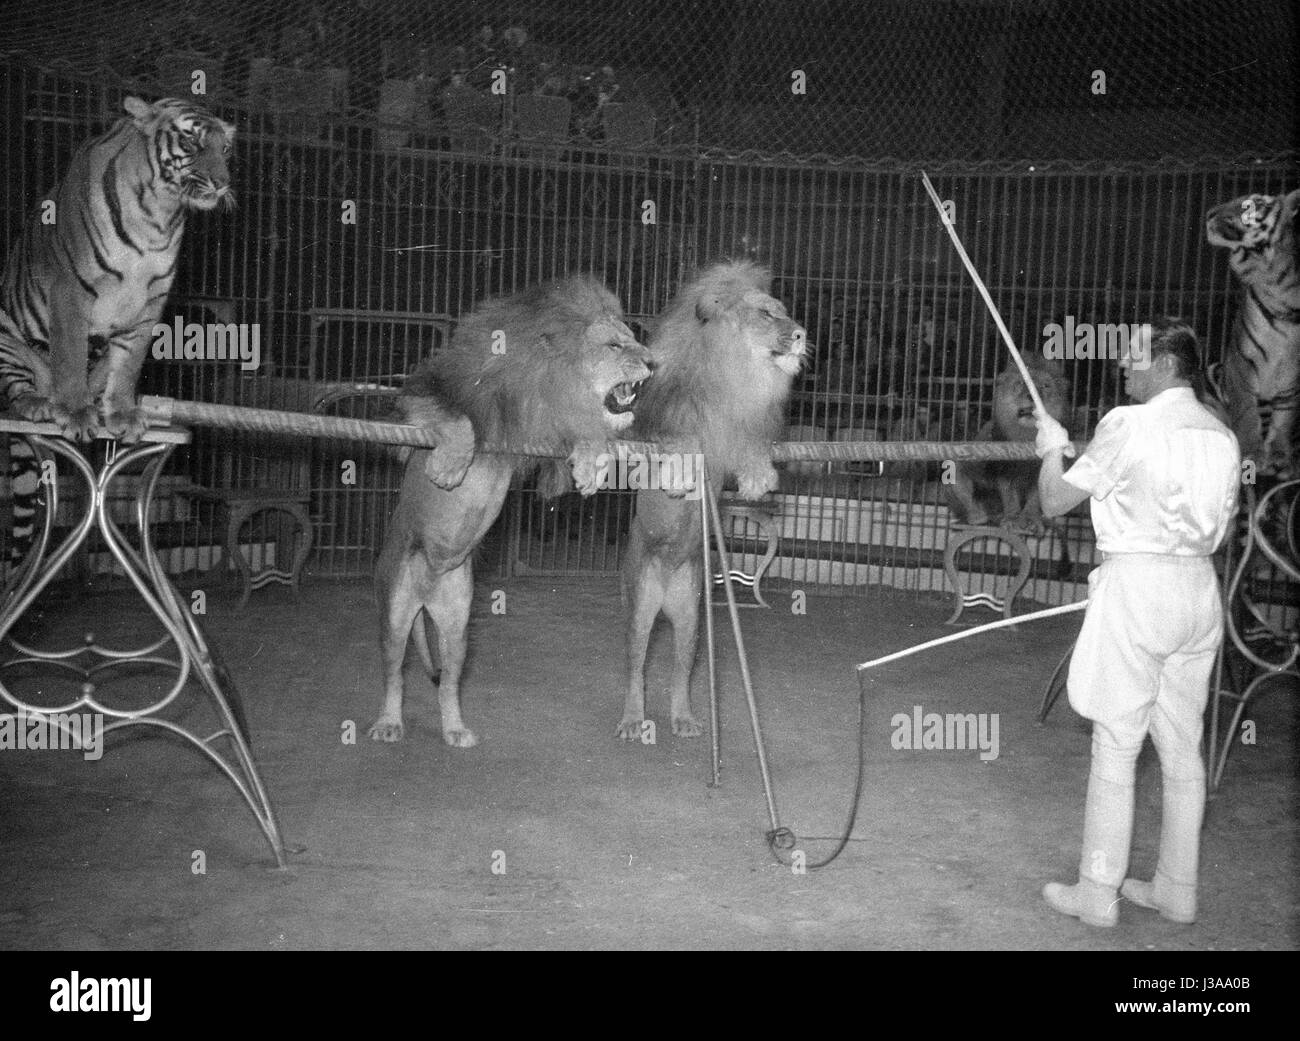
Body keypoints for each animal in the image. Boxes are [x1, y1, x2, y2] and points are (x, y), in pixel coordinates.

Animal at [2, 94, 235, 569]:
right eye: (190, 141)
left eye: (225, 149)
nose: (222, 184)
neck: (159, 213)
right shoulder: (71, 289)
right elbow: (70, 353)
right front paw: (74, 411)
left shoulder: (151, 303)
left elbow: (129, 365)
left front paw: (122, 413)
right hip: (8, 337)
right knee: (17, 387)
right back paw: (40, 402)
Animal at [369, 274, 650, 748]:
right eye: (615, 346)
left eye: (633, 340)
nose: (653, 361)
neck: (552, 380)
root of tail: (427, 592)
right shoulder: (434, 390)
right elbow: (457, 421)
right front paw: (449, 465)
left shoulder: (542, 439)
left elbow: (582, 442)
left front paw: (591, 463)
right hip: (394, 609)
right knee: (393, 673)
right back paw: (388, 722)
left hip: (458, 622)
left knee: (448, 681)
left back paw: (455, 729)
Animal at [616, 263, 800, 743]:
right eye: (766, 314)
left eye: (782, 312)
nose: (800, 334)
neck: (734, 373)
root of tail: (664, 590)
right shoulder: (652, 428)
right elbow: (677, 439)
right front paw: (680, 471)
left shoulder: (741, 429)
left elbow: (752, 448)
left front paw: (757, 478)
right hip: (639, 608)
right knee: (636, 668)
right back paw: (632, 719)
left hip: (691, 618)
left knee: (681, 673)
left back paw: (684, 719)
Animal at [946, 353, 1076, 532]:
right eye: (1021, 383)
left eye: (1046, 386)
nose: (1032, 396)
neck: (1025, 436)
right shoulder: (1003, 468)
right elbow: (1009, 496)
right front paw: (1012, 519)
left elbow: (1035, 499)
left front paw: (1030, 519)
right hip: (958, 468)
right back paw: (978, 517)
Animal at [1206, 188, 1300, 478]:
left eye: (1252, 204)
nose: (1209, 213)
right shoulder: (1242, 361)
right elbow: (1247, 412)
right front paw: (1252, 454)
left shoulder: (1293, 371)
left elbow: (1285, 415)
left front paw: (1280, 459)